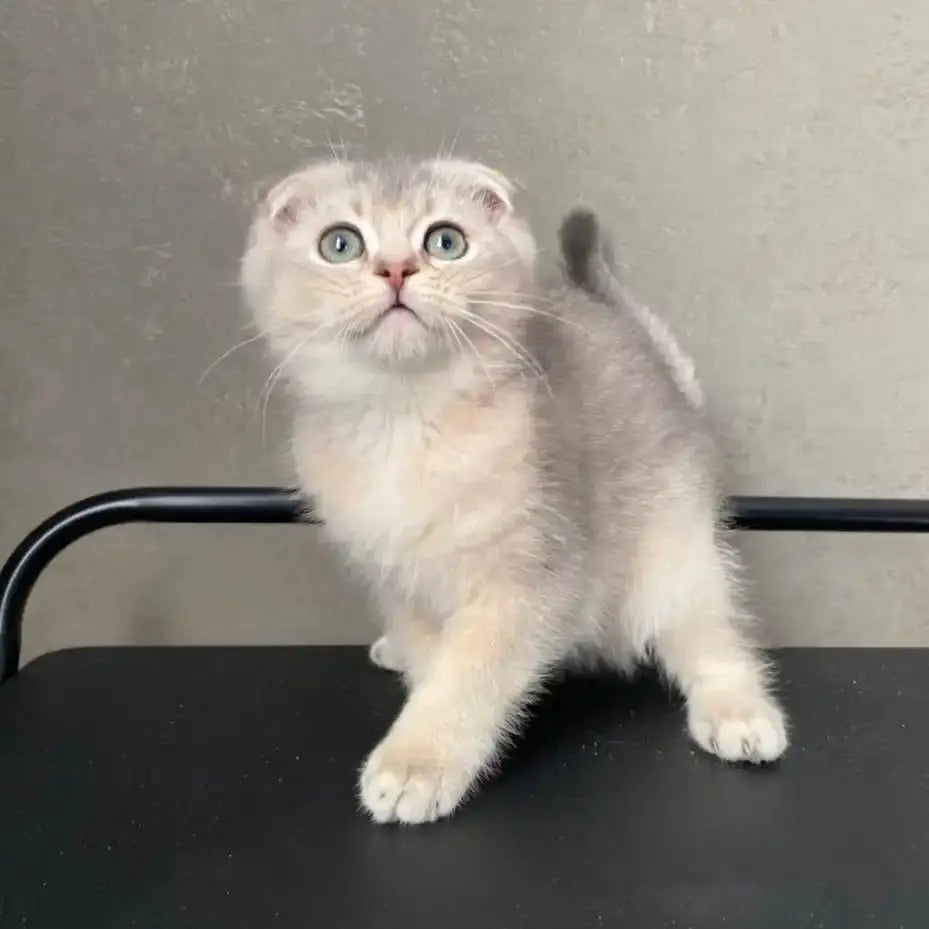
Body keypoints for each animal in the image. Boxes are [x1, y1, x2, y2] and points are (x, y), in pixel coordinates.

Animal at [243, 160, 788, 828]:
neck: (407, 424)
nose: (396, 269)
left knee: (712, 635)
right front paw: (420, 705)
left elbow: (469, 677)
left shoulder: (532, 576)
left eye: (444, 241)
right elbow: (434, 662)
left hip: (675, 555)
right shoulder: (399, 578)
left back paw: (740, 714)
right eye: (339, 244)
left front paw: (416, 764)